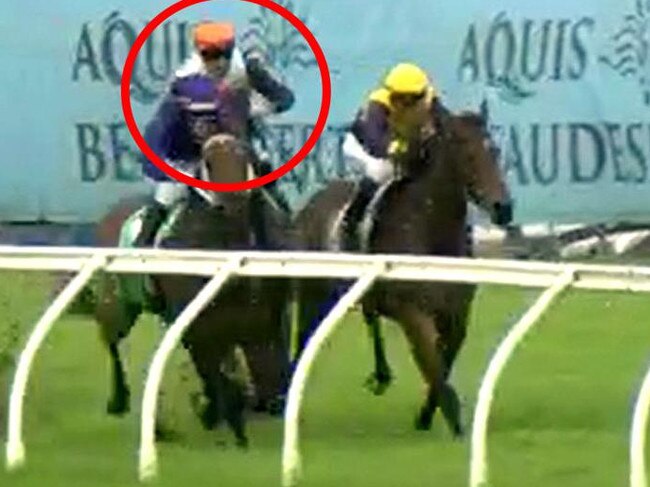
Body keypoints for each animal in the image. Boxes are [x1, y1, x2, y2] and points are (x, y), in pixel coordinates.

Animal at [290, 110, 512, 438]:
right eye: (467, 153)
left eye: (495, 151)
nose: (503, 208)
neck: (431, 233)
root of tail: (310, 203)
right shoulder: (412, 313)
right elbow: (431, 362)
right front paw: (452, 419)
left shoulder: (457, 315)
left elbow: (443, 362)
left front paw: (427, 416)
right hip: (311, 293)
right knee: (304, 338)